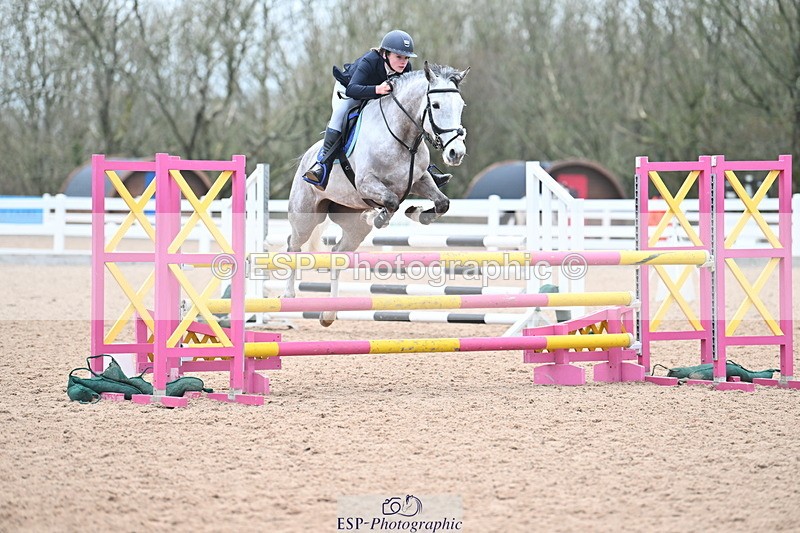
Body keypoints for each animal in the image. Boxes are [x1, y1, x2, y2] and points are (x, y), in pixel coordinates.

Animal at [283, 62, 470, 326]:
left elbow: (442, 203)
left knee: (337, 255)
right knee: (293, 245)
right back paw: (289, 295)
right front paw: (379, 217)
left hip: (353, 226)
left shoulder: (419, 180)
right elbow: (391, 201)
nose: (456, 153)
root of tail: (307, 157)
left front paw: (416, 213)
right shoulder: (365, 183)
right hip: (306, 217)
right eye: (435, 105)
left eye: (461, 105)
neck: (403, 137)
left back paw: (329, 314)